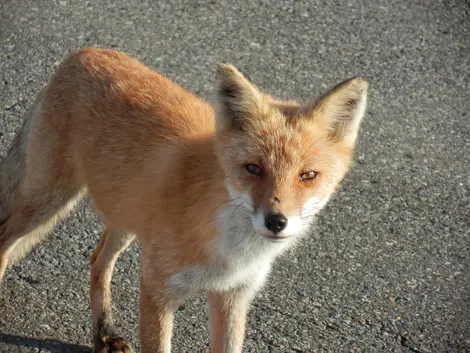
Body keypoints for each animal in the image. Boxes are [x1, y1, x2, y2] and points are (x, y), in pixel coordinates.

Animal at [0, 47, 368, 352]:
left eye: (308, 175)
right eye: (253, 168)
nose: (276, 221)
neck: (230, 248)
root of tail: (84, 52)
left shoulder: (233, 295)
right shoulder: (156, 291)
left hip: (127, 215)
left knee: (98, 260)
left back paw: (103, 333)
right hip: (48, 198)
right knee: (5, 240)